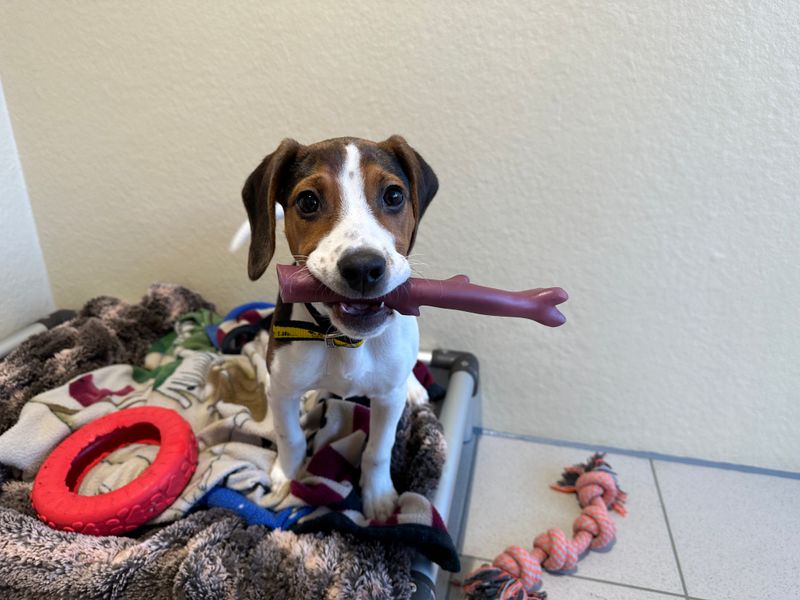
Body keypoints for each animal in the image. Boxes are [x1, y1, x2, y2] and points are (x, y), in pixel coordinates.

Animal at [242, 136, 438, 520]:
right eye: (308, 201)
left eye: (394, 195)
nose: (363, 267)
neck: (345, 341)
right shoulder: (281, 390)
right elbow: (291, 438)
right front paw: (286, 475)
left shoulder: (386, 400)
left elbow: (378, 449)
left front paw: (378, 496)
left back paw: (413, 386)